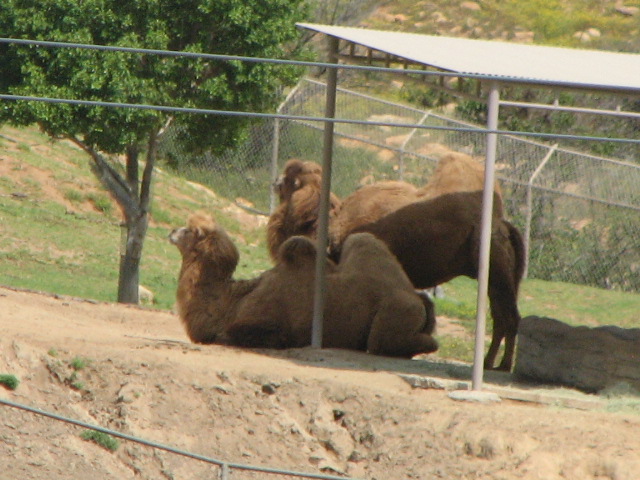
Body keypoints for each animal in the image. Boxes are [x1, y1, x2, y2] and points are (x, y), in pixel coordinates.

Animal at [170, 212, 438, 358]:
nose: (171, 231)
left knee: (387, 343)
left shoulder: (264, 324)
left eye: (189, 230)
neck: (230, 301)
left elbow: (231, 335)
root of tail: (418, 299)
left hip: (395, 313)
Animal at [330, 191, 526, 371]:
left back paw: (504, 366)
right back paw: (489, 363)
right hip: (496, 279)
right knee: (500, 318)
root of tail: (506, 227)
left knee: (511, 318)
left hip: (498, 274)